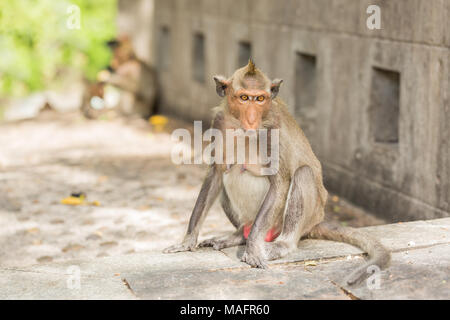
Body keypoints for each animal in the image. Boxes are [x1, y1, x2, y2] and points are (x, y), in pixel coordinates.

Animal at [163, 58, 390, 284]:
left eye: (260, 99)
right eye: (244, 98)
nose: (252, 119)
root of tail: (317, 221)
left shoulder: (273, 131)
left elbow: (280, 182)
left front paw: (253, 249)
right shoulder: (220, 122)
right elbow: (216, 173)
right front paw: (188, 240)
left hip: (303, 217)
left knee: (303, 174)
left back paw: (282, 243)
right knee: (230, 173)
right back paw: (239, 235)